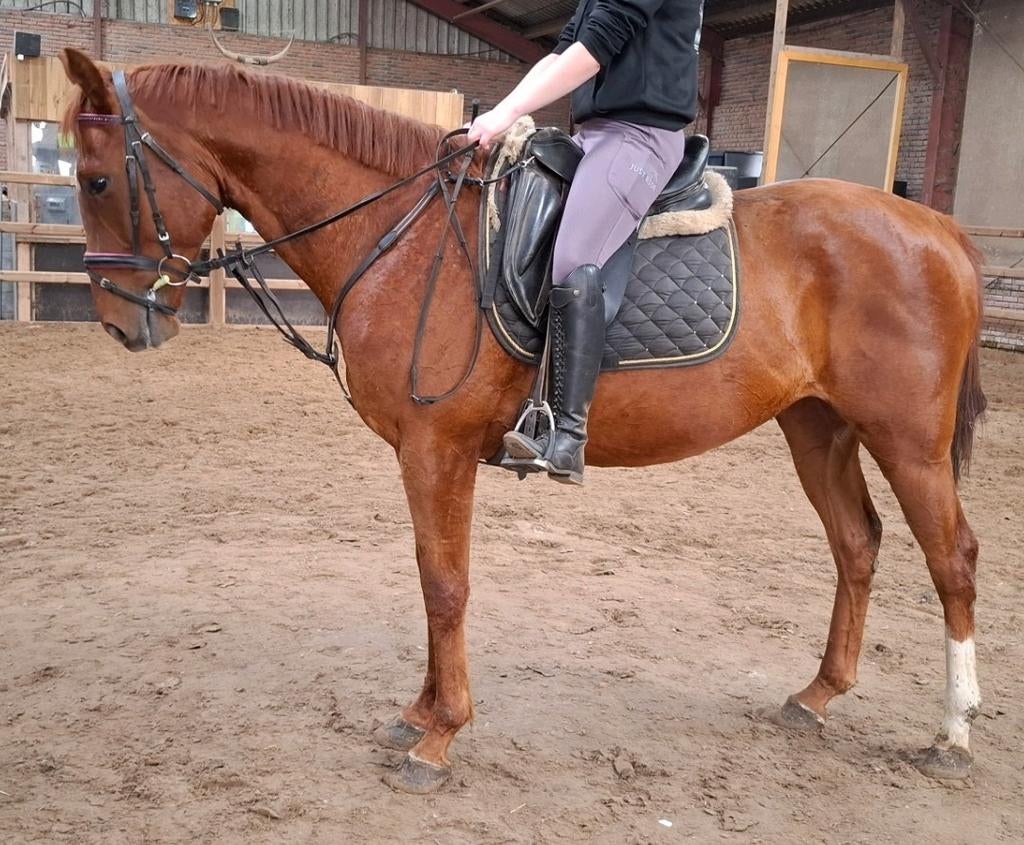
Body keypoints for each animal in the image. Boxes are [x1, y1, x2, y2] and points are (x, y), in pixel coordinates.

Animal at [59, 47, 986, 794]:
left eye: (96, 179)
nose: (120, 323)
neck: (401, 231)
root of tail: (936, 225)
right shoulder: (427, 454)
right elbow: (432, 579)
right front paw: (419, 711)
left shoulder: (435, 449)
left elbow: (445, 584)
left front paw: (438, 736)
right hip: (817, 427)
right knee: (857, 544)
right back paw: (818, 695)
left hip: (908, 442)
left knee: (951, 560)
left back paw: (953, 733)